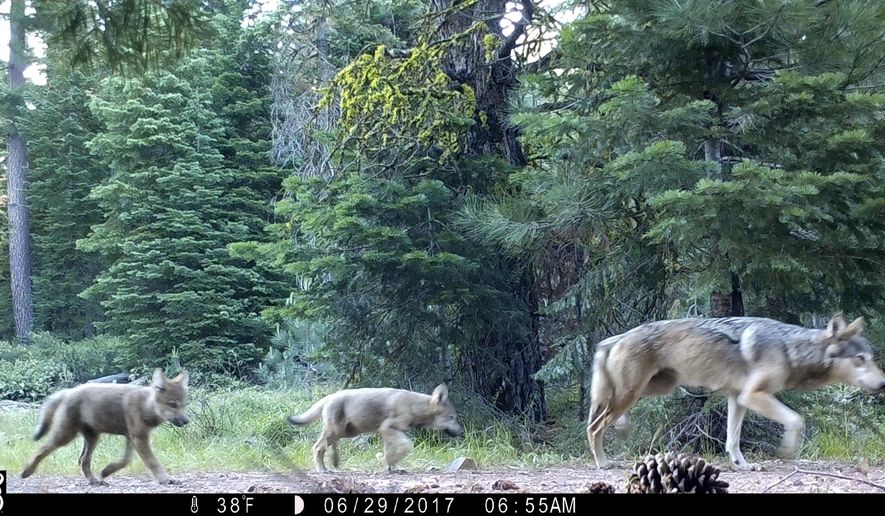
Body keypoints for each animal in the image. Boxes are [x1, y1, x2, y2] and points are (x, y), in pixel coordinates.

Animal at [21, 368, 190, 485]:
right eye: (172, 404)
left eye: (184, 405)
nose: (187, 421)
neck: (145, 405)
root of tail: (68, 391)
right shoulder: (139, 437)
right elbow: (153, 461)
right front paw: (166, 479)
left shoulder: (131, 437)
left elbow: (125, 460)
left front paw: (107, 471)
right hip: (65, 436)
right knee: (42, 448)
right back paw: (26, 471)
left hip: (93, 438)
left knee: (83, 460)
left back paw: (95, 481)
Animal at [287, 384, 465, 473]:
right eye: (452, 417)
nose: (462, 432)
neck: (414, 407)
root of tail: (328, 396)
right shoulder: (387, 428)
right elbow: (406, 445)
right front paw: (393, 465)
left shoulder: (388, 433)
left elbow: (389, 453)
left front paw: (393, 468)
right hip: (337, 431)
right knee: (318, 447)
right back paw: (322, 470)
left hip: (346, 432)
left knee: (328, 446)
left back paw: (334, 463)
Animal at [587, 315, 885, 470]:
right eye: (860, 359)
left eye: (871, 357)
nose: (883, 384)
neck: (791, 350)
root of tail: (615, 338)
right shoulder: (752, 396)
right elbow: (796, 420)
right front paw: (788, 450)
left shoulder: (737, 398)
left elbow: (733, 439)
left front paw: (742, 465)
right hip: (633, 393)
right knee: (594, 427)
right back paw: (603, 462)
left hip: (655, 388)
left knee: (607, 418)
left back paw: (621, 428)